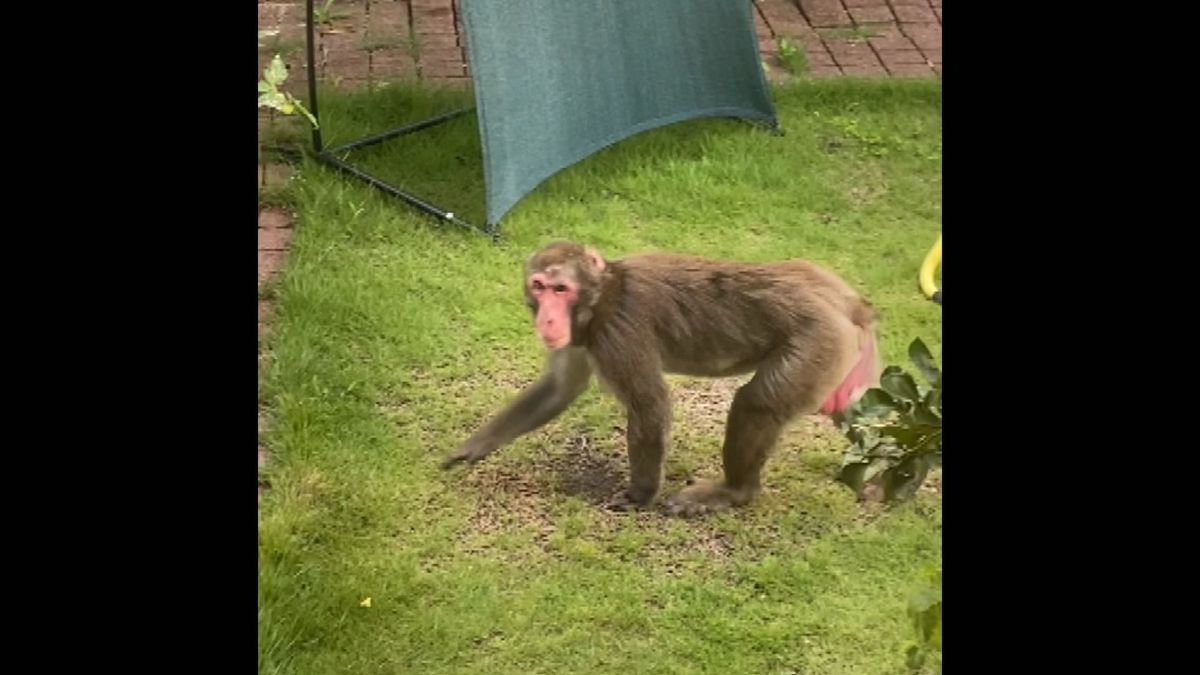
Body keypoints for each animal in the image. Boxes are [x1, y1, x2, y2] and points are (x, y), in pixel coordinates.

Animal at [444, 239, 883, 511]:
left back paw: (735, 491)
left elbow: (649, 403)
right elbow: (560, 388)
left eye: (561, 289)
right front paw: (474, 447)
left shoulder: (618, 331)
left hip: (817, 339)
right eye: (539, 286)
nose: (548, 318)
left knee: (756, 405)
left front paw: (639, 495)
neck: (603, 297)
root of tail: (842, 300)